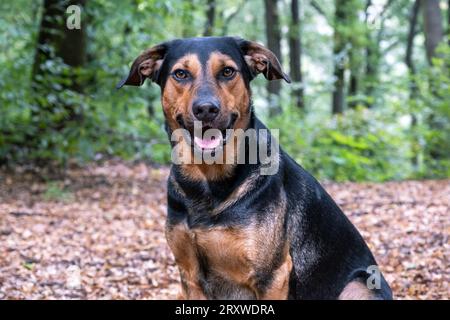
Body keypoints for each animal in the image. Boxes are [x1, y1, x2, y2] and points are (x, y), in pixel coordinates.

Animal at [118, 37, 392, 300]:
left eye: (228, 71)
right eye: (181, 74)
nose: (205, 109)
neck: (207, 183)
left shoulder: (271, 276)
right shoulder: (190, 276)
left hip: (360, 286)